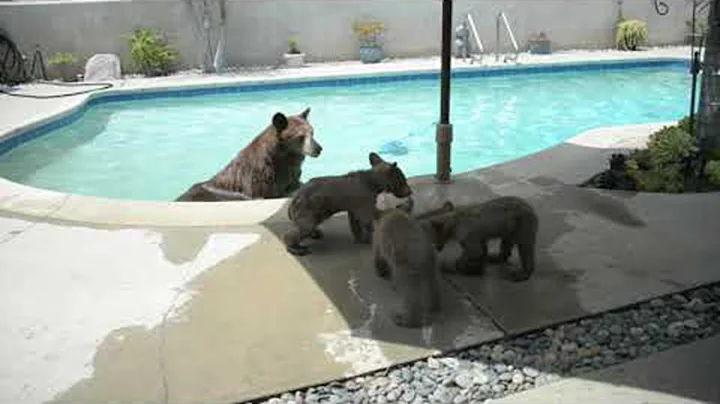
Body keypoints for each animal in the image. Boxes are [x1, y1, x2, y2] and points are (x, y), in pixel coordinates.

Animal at [283, 152, 413, 256]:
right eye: (403, 179)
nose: (410, 191)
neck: (373, 182)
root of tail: (293, 201)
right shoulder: (364, 201)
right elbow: (370, 216)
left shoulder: (354, 206)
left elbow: (355, 222)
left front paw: (360, 239)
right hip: (307, 208)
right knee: (304, 227)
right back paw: (296, 248)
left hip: (317, 211)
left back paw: (315, 233)